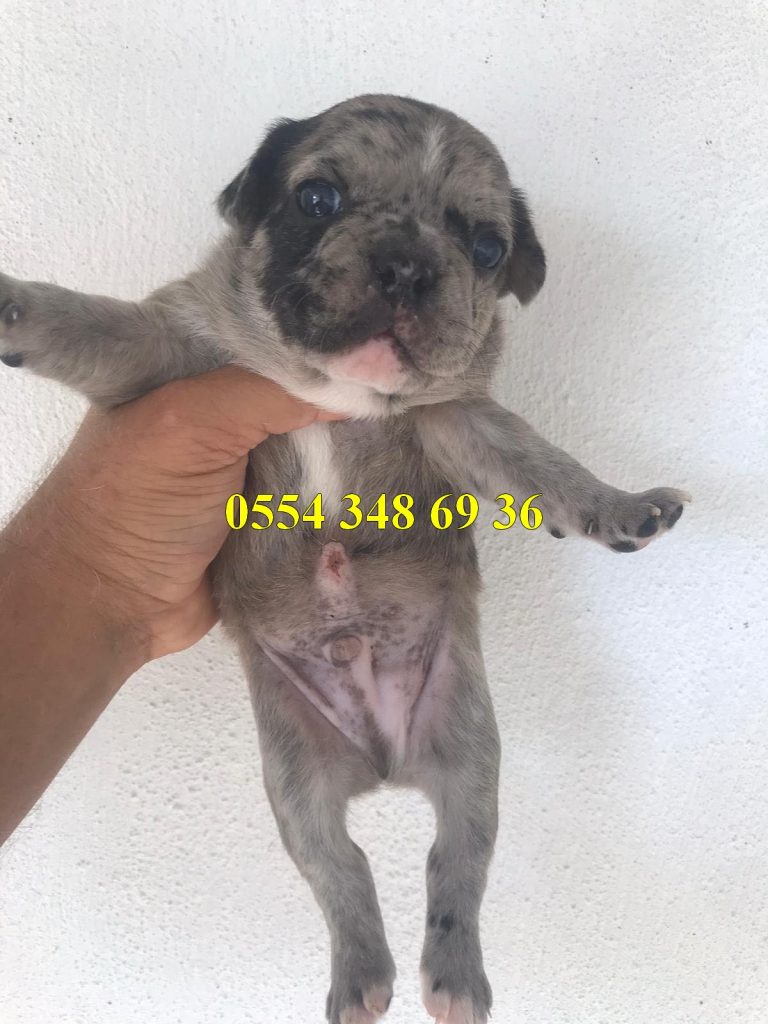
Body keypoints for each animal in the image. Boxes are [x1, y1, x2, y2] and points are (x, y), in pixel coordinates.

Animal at [0, 94, 689, 1023]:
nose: (406, 265)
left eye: (486, 247)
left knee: (455, 862)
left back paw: (452, 978)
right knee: (340, 869)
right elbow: (93, 324)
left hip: (471, 753)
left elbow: (545, 465)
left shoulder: (459, 418)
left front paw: (620, 506)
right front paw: (18, 309)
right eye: (317, 199)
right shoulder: (175, 357)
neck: (335, 390)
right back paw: (360, 974)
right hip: (296, 782)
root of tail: (385, 763)